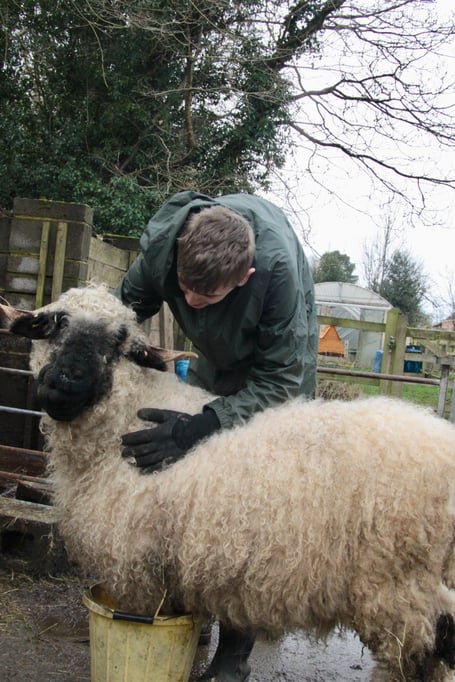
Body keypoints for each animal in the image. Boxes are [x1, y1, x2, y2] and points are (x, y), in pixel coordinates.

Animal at [2, 282, 455, 682]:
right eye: (57, 323)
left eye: (118, 342)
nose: (66, 382)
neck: (125, 420)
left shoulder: (134, 563)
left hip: (399, 588)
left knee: (423, 653)